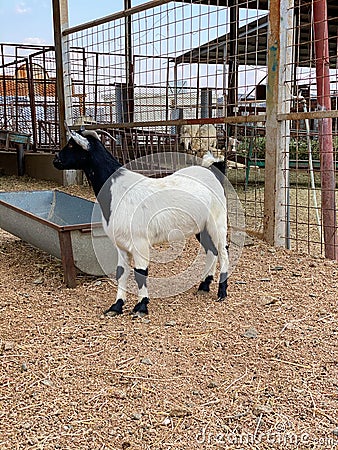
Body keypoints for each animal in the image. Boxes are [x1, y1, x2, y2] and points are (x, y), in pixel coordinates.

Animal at [53, 128, 230, 318]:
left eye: (72, 145)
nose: (55, 159)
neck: (116, 190)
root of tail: (214, 172)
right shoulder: (120, 244)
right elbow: (121, 272)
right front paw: (116, 306)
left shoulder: (139, 242)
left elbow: (140, 273)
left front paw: (141, 307)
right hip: (201, 227)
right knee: (211, 250)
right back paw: (204, 286)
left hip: (218, 221)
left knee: (223, 251)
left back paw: (221, 292)